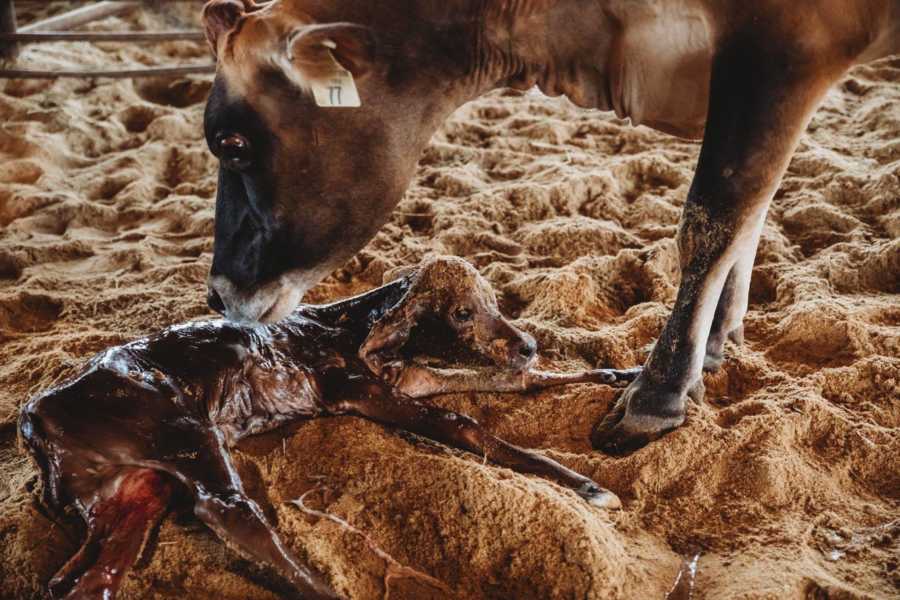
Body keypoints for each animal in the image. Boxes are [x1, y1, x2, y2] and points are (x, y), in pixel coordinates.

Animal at [200, 0, 896, 450]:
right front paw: (716, 343)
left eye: (231, 144)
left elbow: (717, 213)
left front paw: (657, 396)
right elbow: (749, 214)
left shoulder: (785, 46)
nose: (215, 291)